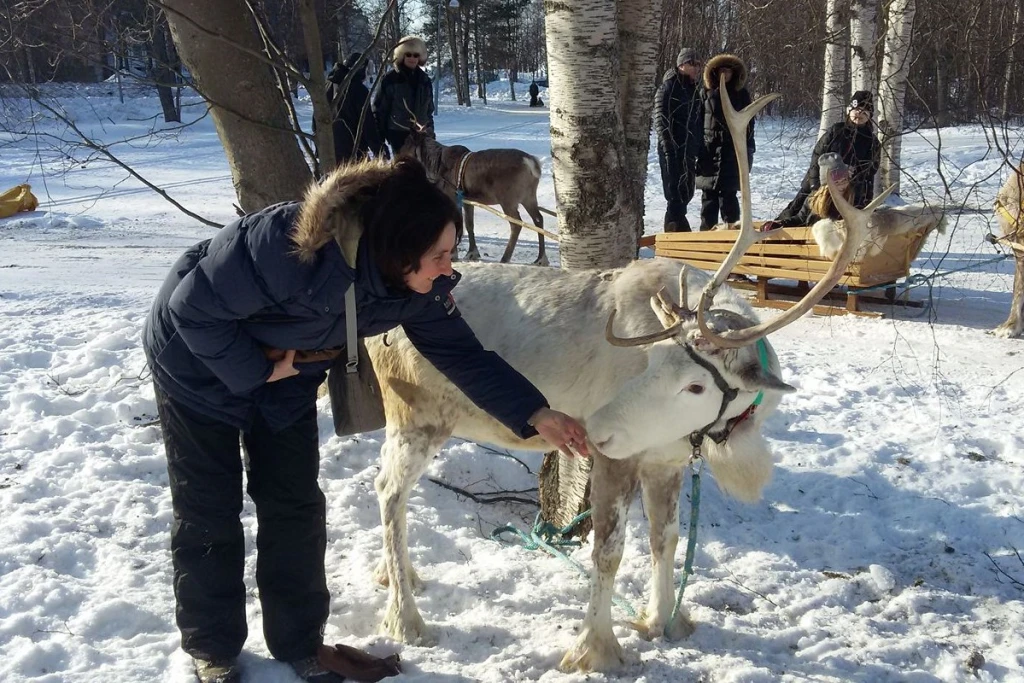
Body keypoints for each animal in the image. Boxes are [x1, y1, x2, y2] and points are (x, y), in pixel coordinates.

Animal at [399, 127, 549, 266]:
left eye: (407, 143)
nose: (397, 158)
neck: (434, 166)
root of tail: (531, 162)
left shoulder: (453, 198)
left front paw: (453, 255)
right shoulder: (467, 201)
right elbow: (469, 224)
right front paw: (472, 253)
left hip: (508, 200)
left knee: (516, 224)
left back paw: (505, 258)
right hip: (528, 197)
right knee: (538, 219)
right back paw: (541, 259)